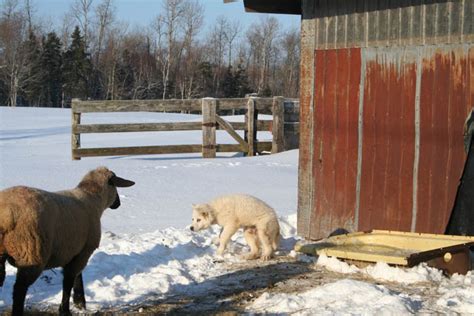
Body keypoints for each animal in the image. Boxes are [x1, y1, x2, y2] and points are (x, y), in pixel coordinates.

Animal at [0, 167, 134, 314]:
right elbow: (69, 281)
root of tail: (6, 215)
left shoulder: (72, 251)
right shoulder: (84, 251)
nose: (118, 204)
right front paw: (66, 309)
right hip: (31, 254)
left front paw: (79, 303)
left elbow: (77, 278)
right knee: (19, 290)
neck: (92, 198)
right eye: (115, 186)